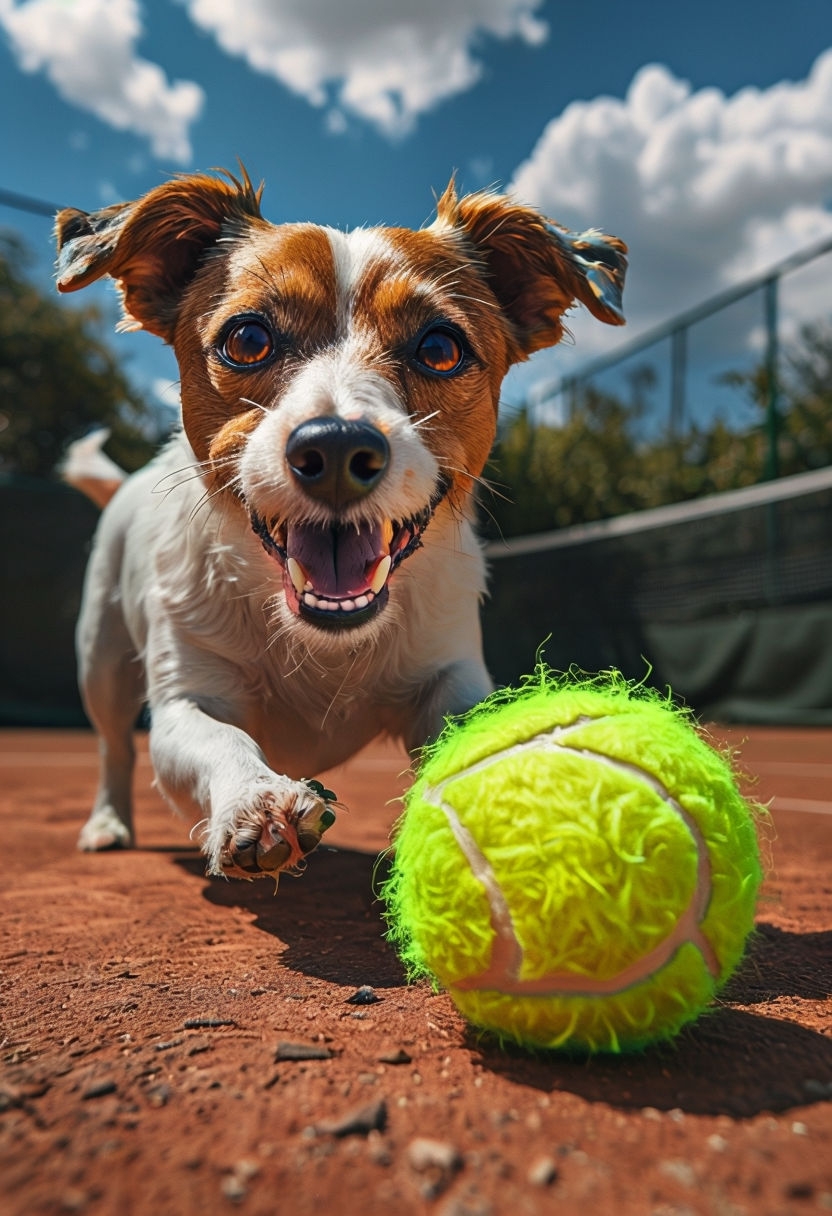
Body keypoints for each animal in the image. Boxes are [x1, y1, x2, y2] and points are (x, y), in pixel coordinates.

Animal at [55, 166, 622, 880]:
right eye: (247, 339)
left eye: (440, 347)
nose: (335, 449)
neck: (322, 643)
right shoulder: (186, 700)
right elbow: (218, 738)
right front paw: (256, 801)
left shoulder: (452, 674)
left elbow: (473, 729)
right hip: (99, 662)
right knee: (114, 748)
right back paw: (108, 822)